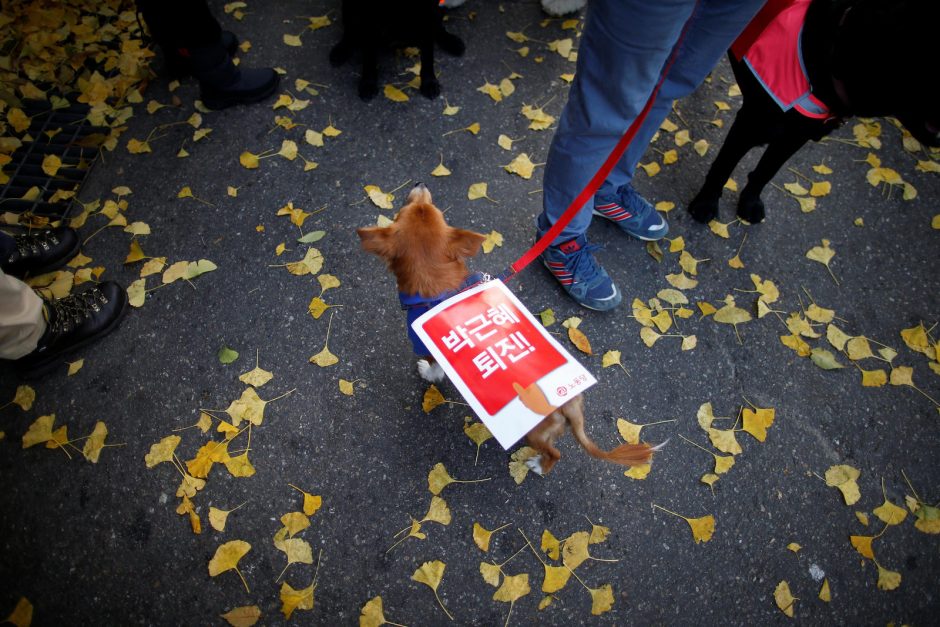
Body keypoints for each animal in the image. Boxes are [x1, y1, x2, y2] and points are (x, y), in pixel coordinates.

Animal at [328, 0, 464, 100]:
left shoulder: (427, 16)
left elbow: (427, 58)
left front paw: (429, 82)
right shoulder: (367, 20)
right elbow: (369, 59)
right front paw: (368, 83)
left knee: (438, 27)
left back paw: (451, 42)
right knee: (349, 31)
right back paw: (341, 50)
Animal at [356, 184, 656, 478]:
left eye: (402, 212)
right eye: (430, 208)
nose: (420, 184)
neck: (438, 285)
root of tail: (570, 403)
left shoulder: (425, 346)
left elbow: (433, 368)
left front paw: (428, 373)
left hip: (535, 434)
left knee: (555, 453)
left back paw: (538, 466)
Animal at [688, 0, 936, 226]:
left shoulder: (795, 136)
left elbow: (766, 171)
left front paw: (749, 202)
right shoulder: (750, 124)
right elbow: (722, 167)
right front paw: (705, 203)